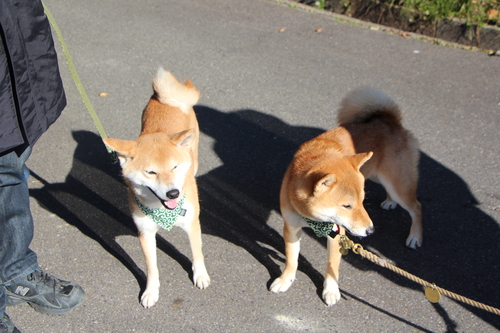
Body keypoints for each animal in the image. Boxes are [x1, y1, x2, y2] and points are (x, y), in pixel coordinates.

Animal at [103, 67, 209, 306]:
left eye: (175, 167)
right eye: (151, 172)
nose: (173, 192)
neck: (163, 211)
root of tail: (168, 99)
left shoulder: (192, 223)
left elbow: (197, 253)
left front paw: (200, 275)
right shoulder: (145, 232)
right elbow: (152, 268)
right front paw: (151, 291)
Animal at [272, 87, 420, 304]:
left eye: (362, 202)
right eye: (347, 206)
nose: (370, 231)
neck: (312, 218)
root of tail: (388, 121)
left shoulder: (336, 234)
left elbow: (332, 267)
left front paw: (331, 291)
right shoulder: (291, 228)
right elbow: (292, 259)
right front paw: (286, 280)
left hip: (397, 184)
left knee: (417, 207)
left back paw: (415, 237)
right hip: (377, 175)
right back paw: (390, 203)